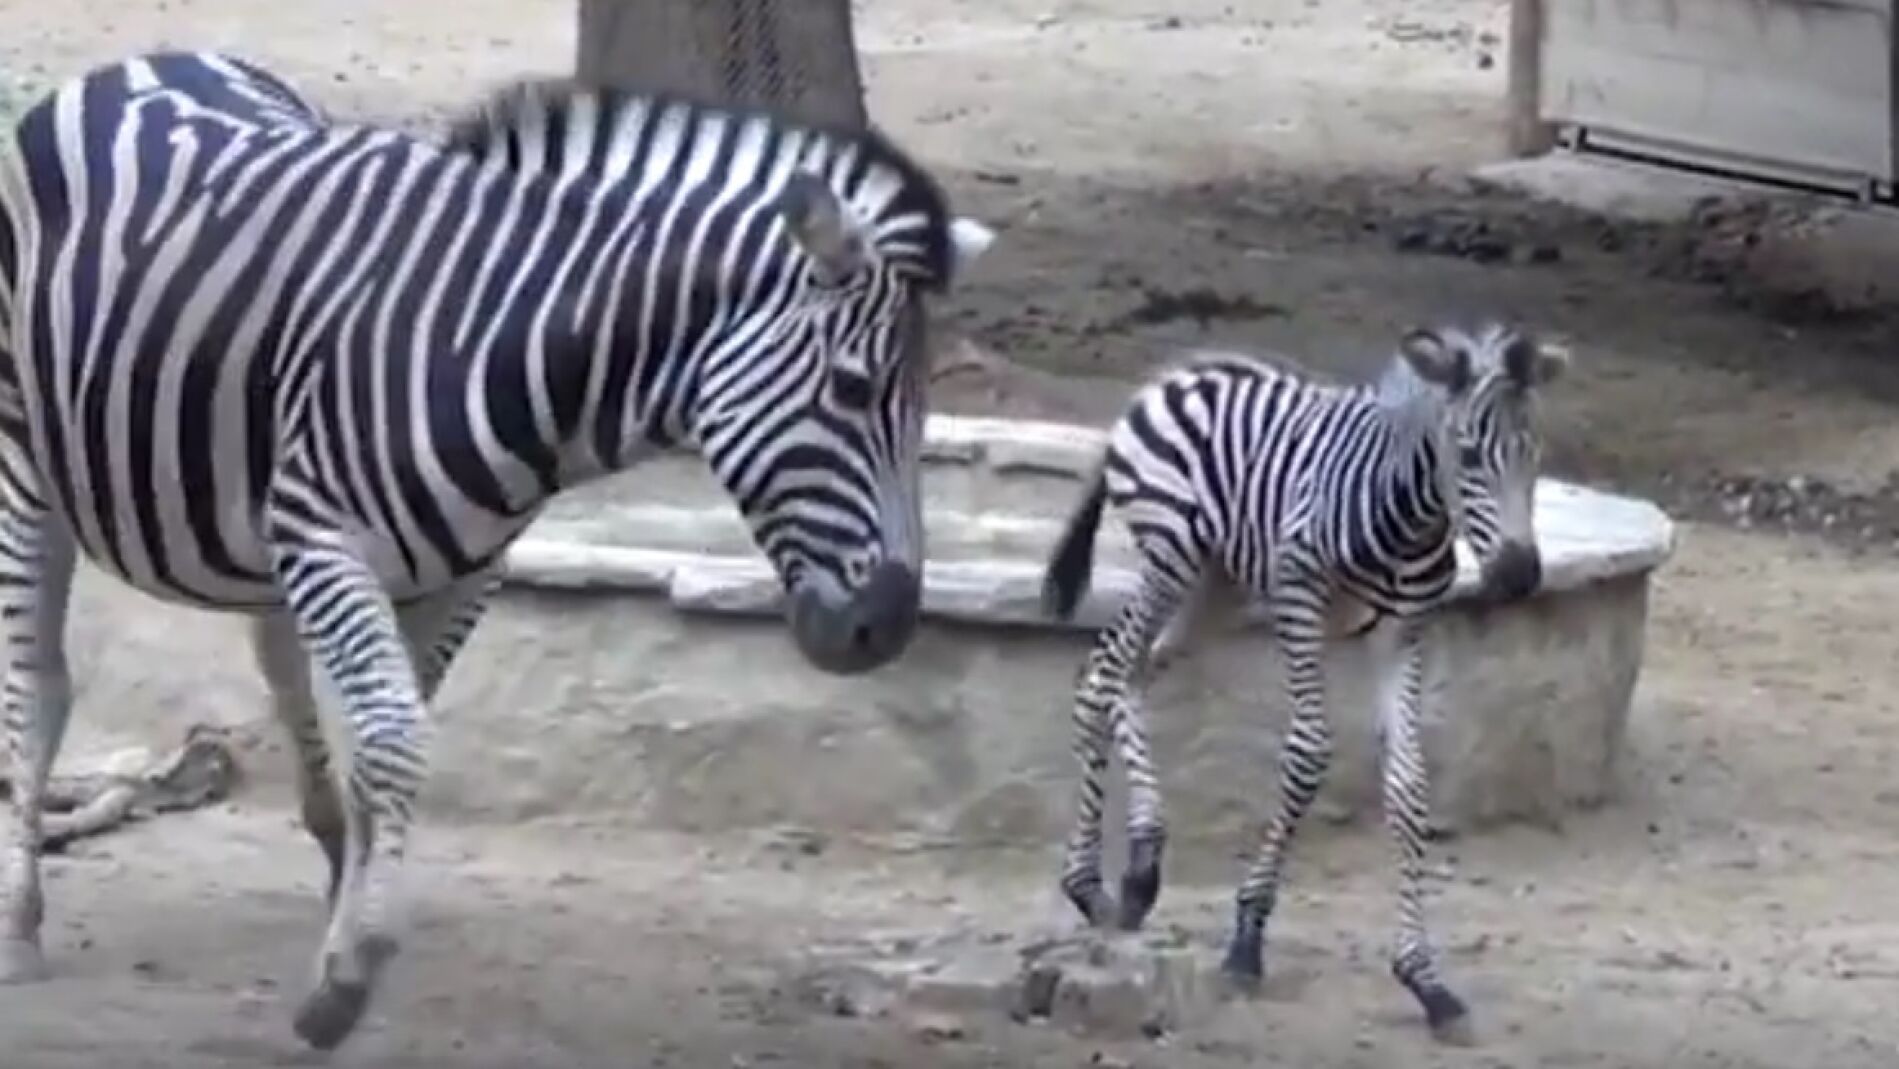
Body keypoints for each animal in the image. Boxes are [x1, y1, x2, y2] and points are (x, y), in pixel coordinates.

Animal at [0, 51, 995, 1050]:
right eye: (853, 387)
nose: (885, 627)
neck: (502, 345)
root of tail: (135, 63)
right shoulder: (324, 535)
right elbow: (393, 740)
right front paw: (347, 978)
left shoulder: (461, 572)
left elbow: (379, 747)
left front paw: (348, 924)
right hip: (26, 464)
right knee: (40, 687)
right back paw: (20, 921)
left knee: (274, 655)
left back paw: (322, 836)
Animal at [1038, 320, 1566, 1042]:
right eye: (1465, 455)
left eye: (1532, 452)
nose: (1518, 576)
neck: (1404, 514)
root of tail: (1178, 372)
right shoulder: (1297, 598)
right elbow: (1307, 755)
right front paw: (1246, 939)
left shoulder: (1402, 632)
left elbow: (1408, 785)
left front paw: (1425, 979)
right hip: (1171, 554)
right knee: (1101, 672)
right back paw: (1090, 886)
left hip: (1215, 582)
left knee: (1134, 672)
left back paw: (1143, 863)